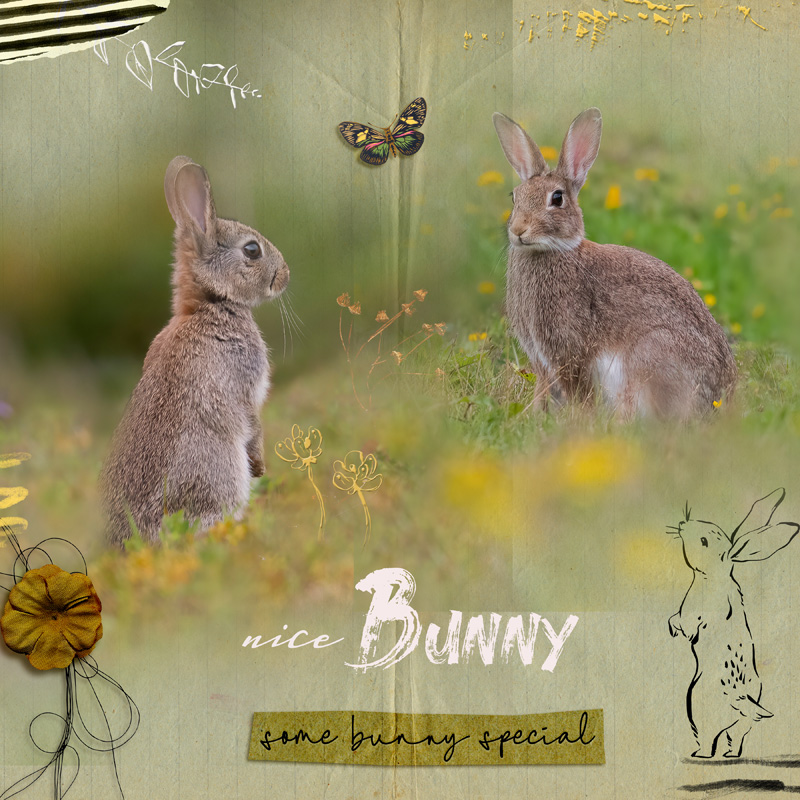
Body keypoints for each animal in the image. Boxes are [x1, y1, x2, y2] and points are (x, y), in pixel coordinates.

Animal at [100, 156, 290, 546]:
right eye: (252, 250)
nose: (286, 275)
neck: (209, 304)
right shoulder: (244, 387)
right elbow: (252, 422)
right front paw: (261, 466)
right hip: (219, 472)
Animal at [492, 108, 737, 419]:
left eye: (557, 198)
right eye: (514, 197)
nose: (519, 230)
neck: (553, 250)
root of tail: (718, 401)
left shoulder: (570, 351)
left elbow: (576, 392)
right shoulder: (542, 359)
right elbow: (543, 390)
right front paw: (535, 416)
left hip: (648, 357)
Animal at [668, 488, 800, 758]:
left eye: (704, 541)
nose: (682, 524)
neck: (714, 576)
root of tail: (740, 700)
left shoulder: (692, 615)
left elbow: (683, 624)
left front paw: (671, 627)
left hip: (696, 705)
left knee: (707, 737)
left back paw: (700, 755)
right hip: (744, 722)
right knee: (736, 736)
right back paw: (731, 754)